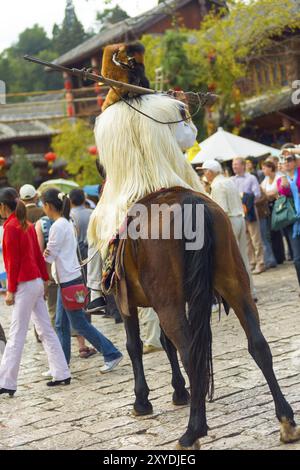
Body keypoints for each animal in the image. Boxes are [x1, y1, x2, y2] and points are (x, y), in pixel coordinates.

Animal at [111, 185, 298, 450]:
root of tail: (189, 201)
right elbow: (166, 344)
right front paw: (180, 392)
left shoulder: (126, 301)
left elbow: (134, 346)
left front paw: (142, 401)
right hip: (235, 284)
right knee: (259, 345)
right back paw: (286, 420)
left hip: (169, 302)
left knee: (191, 356)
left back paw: (193, 431)